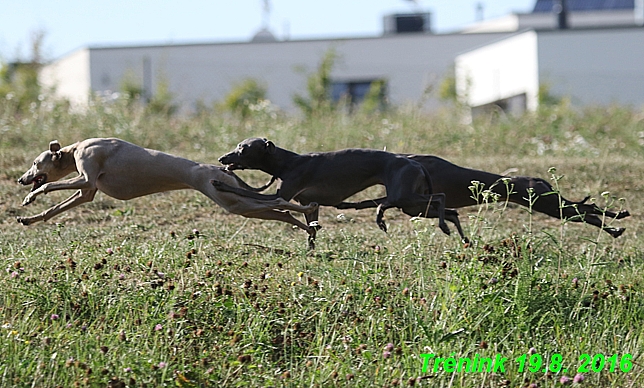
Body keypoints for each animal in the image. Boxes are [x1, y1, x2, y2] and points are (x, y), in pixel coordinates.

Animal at [18, 138, 320, 233]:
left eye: (34, 162)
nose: (21, 179)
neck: (77, 148)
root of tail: (220, 169)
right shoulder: (86, 192)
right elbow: (55, 209)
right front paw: (28, 218)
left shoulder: (86, 177)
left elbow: (47, 187)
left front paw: (30, 197)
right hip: (240, 204)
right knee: (281, 212)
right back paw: (307, 226)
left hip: (234, 201)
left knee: (280, 202)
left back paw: (310, 212)